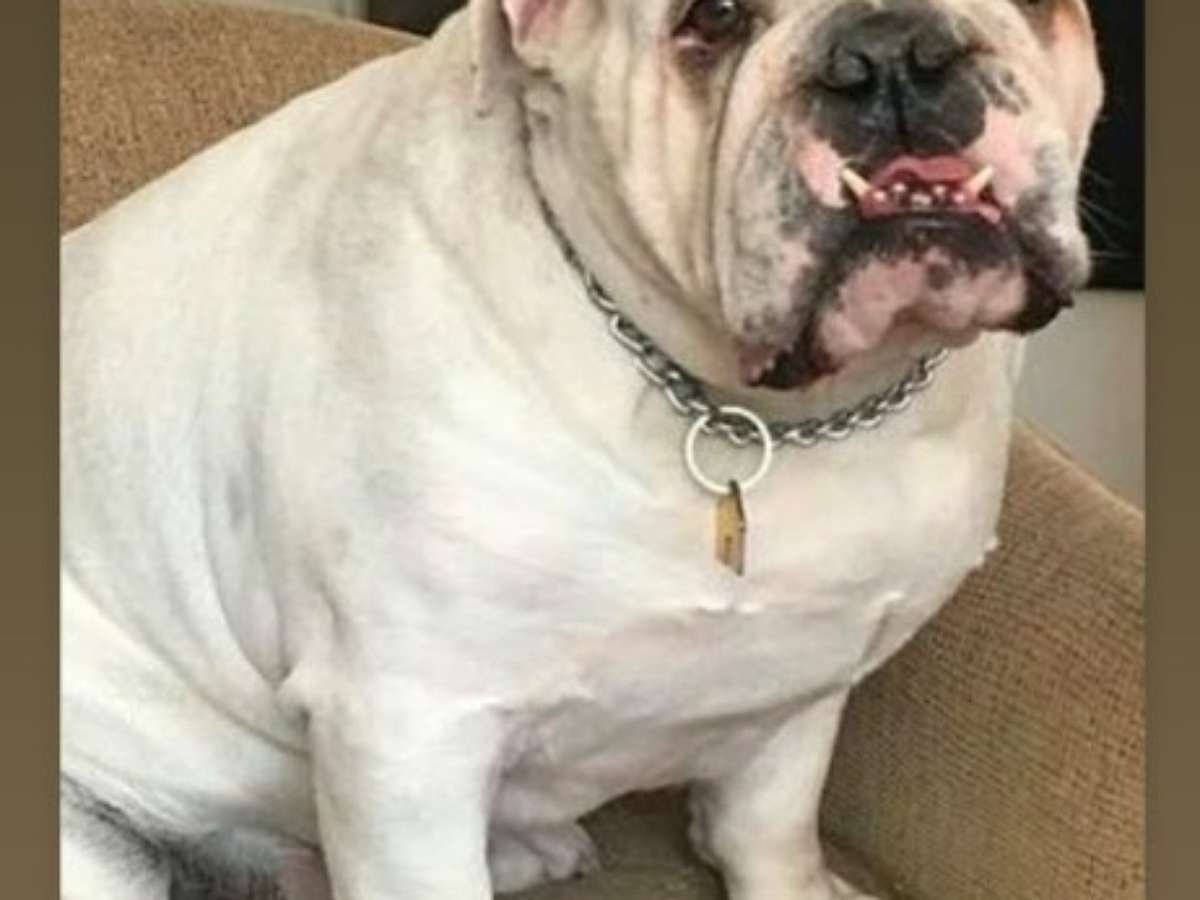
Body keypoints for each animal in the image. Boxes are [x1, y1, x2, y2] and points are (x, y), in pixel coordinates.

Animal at [60, 1, 1103, 897]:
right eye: (713, 17)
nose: (891, 55)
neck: (746, 412)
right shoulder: (408, 728)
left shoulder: (807, 677)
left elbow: (769, 828)